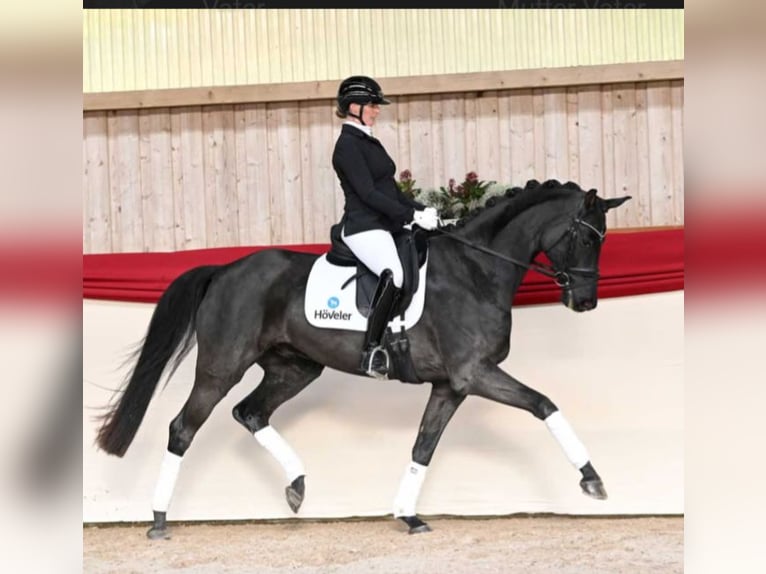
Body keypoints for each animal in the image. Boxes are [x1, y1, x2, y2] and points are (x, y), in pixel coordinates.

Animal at [94, 179, 631, 538]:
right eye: (587, 237)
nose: (586, 301)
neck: (476, 269)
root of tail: (225, 269)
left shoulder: (450, 385)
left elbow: (422, 447)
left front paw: (408, 515)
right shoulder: (474, 373)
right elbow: (544, 404)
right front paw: (592, 480)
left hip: (295, 367)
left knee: (250, 413)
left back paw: (297, 485)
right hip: (221, 367)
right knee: (183, 428)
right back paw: (159, 520)